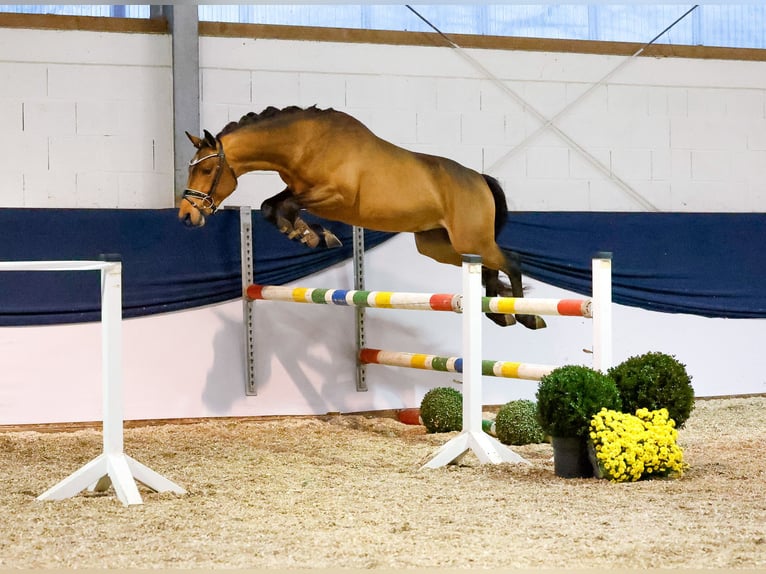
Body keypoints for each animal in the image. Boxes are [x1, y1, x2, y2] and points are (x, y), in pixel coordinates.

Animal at [182, 103, 544, 328]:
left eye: (208, 170)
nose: (186, 215)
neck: (306, 144)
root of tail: (479, 178)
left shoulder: (332, 196)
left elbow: (286, 206)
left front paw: (311, 234)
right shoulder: (299, 190)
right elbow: (273, 206)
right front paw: (308, 235)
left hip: (471, 239)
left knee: (511, 262)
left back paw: (527, 317)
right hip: (441, 247)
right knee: (487, 268)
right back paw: (501, 313)